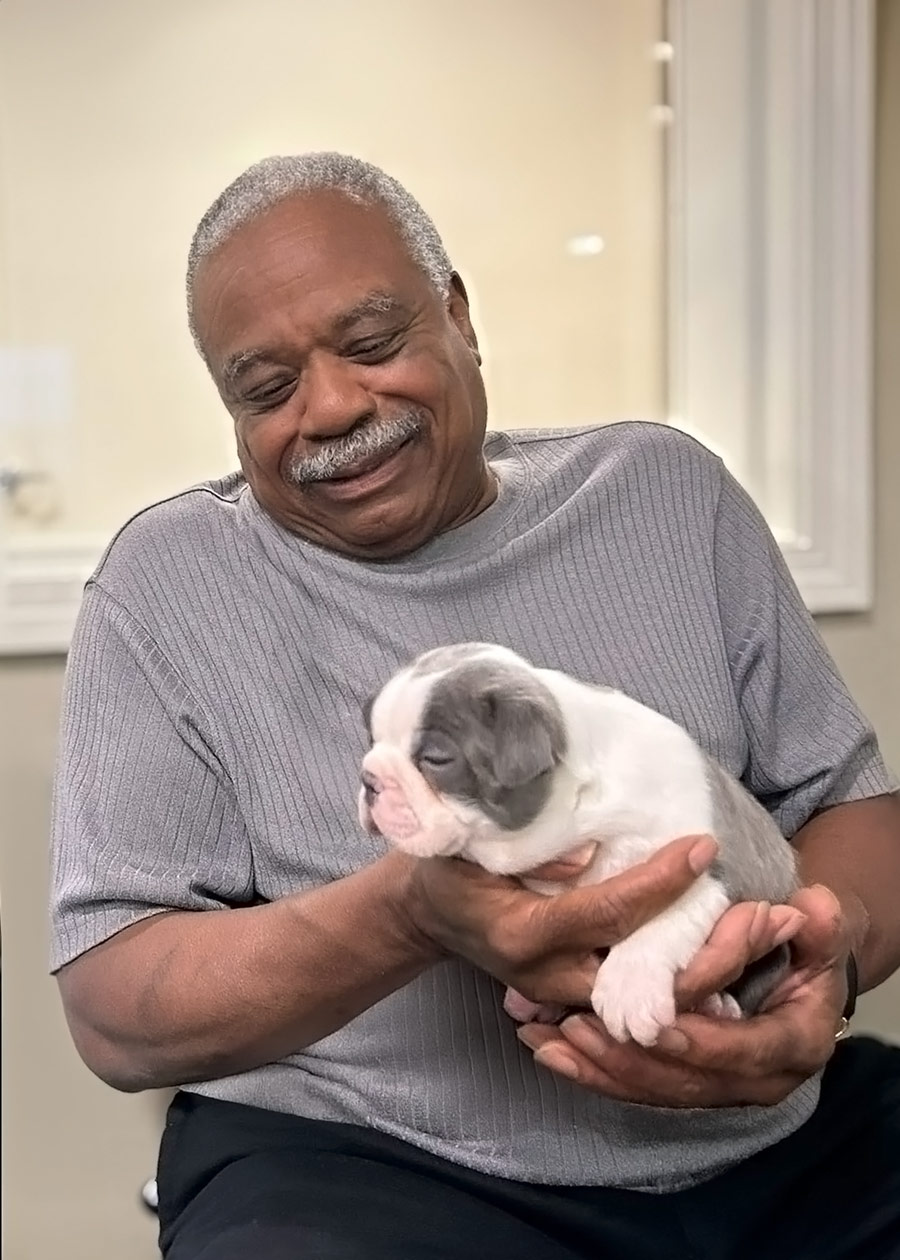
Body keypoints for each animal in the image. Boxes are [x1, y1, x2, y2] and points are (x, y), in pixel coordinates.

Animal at [352, 645, 796, 1048]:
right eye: (372, 741)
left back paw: (716, 1005)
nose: (369, 779)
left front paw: (628, 990)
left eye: (436, 760)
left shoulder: (700, 865)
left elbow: (659, 918)